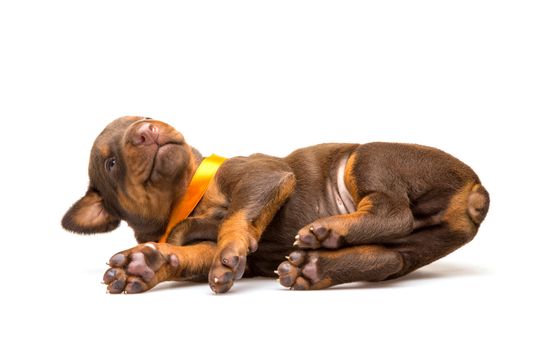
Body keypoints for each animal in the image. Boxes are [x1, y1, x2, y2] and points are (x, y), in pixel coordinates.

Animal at [61, 117, 488, 292]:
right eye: (111, 162)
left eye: (147, 116)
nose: (146, 130)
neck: (185, 198)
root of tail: (475, 192)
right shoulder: (202, 247)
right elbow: (187, 254)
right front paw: (144, 265)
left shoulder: (262, 175)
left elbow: (234, 219)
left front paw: (229, 248)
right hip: (417, 248)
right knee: (387, 258)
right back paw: (314, 267)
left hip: (369, 159)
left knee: (392, 211)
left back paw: (328, 230)